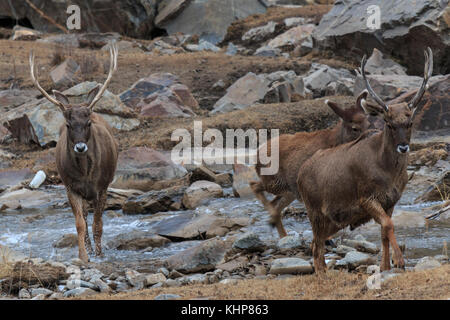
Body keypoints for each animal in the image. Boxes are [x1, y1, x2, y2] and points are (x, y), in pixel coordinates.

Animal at [30, 42, 120, 262]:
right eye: (68, 125)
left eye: (88, 123)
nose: (80, 147)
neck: (86, 173)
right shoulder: (70, 187)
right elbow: (80, 224)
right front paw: (83, 256)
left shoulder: (102, 187)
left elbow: (98, 225)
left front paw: (100, 254)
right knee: (85, 219)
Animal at [298, 47, 434, 272]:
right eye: (388, 123)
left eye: (410, 122)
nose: (403, 146)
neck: (388, 173)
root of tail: (300, 174)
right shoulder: (366, 197)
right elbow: (388, 224)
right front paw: (399, 261)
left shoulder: (391, 200)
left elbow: (384, 231)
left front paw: (385, 266)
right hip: (314, 211)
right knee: (316, 249)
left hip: (330, 222)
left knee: (316, 246)